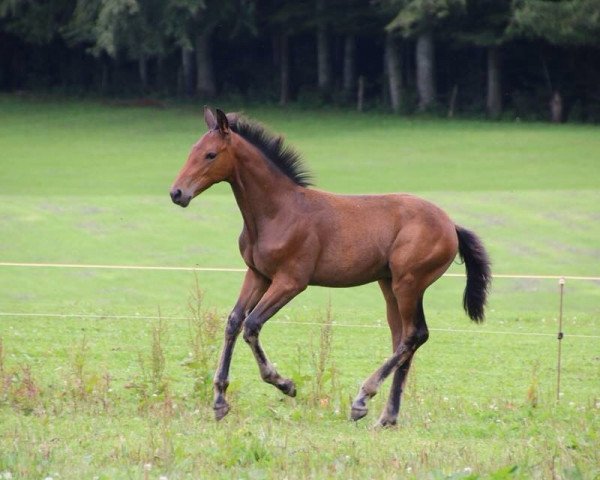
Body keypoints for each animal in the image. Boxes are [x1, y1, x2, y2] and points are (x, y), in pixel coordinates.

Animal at [168, 109, 488, 428]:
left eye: (210, 154)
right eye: (191, 151)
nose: (177, 193)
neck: (277, 212)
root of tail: (451, 226)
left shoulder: (291, 281)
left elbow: (252, 324)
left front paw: (285, 384)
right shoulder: (257, 274)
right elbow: (234, 322)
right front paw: (220, 401)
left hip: (409, 282)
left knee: (415, 335)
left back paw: (362, 399)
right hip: (389, 284)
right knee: (403, 338)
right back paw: (387, 417)